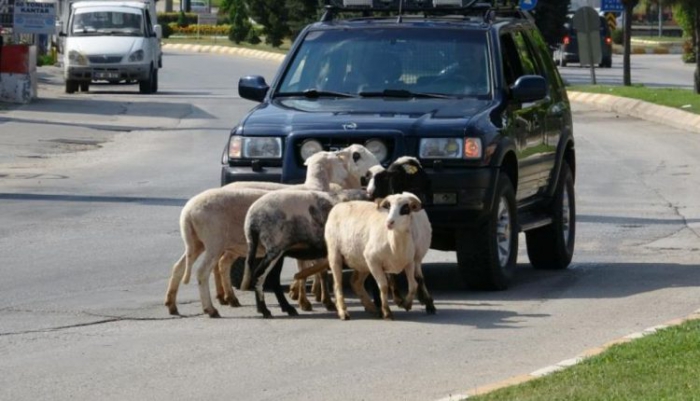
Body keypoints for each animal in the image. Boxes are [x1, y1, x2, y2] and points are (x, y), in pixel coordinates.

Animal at [163, 152, 350, 318]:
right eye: (339, 162)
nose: (347, 179)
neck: (313, 186)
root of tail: (187, 213)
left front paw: (301, 296)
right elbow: (315, 271)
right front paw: (311, 301)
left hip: (197, 242)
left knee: (181, 267)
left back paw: (174, 305)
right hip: (214, 241)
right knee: (204, 271)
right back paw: (212, 308)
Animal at [241, 188, 372, 318]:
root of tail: (251, 217)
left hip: (277, 252)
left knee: (273, 279)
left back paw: (286, 308)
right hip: (274, 247)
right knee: (259, 274)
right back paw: (265, 310)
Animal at [322, 192, 426, 320]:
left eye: (405, 208)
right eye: (388, 207)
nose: (389, 223)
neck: (394, 243)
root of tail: (338, 206)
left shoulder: (409, 263)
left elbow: (413, 285)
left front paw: (407, 304)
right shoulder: (374, 261)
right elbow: (383, 286)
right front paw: (387, 312)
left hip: (362, 262)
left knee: (355, 282)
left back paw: (373, 308)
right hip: (335, 253)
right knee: (337, 284)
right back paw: (343, 312)